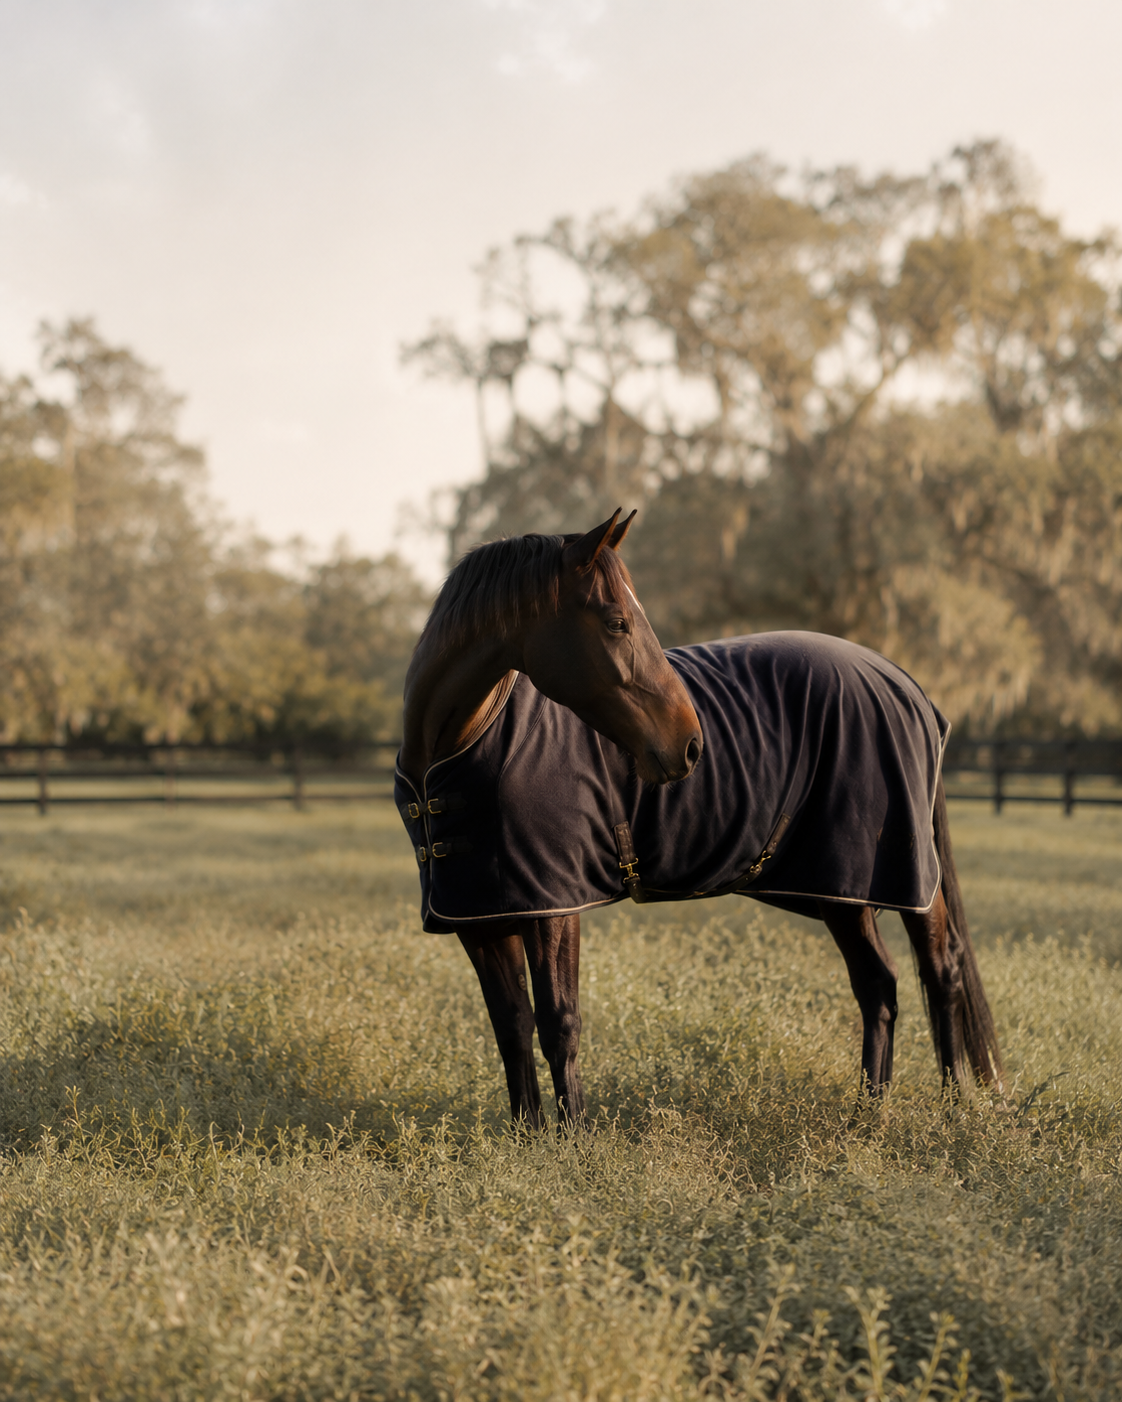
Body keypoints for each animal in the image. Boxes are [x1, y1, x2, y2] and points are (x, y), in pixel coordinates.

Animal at [395, 510, 1002, 1128]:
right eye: (617, 622)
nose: (690, 745)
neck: (461, 749)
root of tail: (901, 679)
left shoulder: (554, 909)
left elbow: (559, 1024)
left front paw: (573, 1140)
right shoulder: (484, 919)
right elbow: (512, 1028)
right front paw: (529, 1138)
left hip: (900, 877)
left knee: (941, 970)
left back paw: (952, 1105)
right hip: (842, 890)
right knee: (879, 985)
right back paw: (867, 1116)